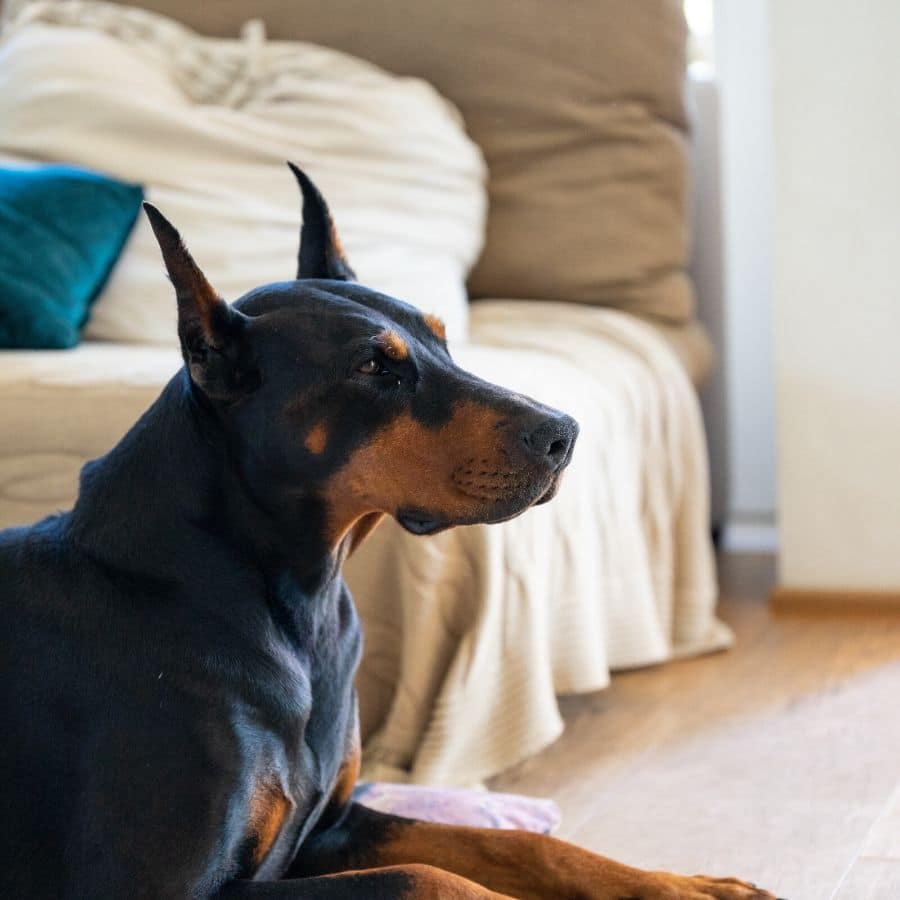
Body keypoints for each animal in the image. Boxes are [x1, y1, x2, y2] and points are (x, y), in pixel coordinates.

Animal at [0, 165, 772, 896]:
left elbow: (520, 844)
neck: (292, 601)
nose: (564, 435)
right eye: (373, 366)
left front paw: (691, 886)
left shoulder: (330, 827)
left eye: (445, 339)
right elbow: (426, 876)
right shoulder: (152, 887)